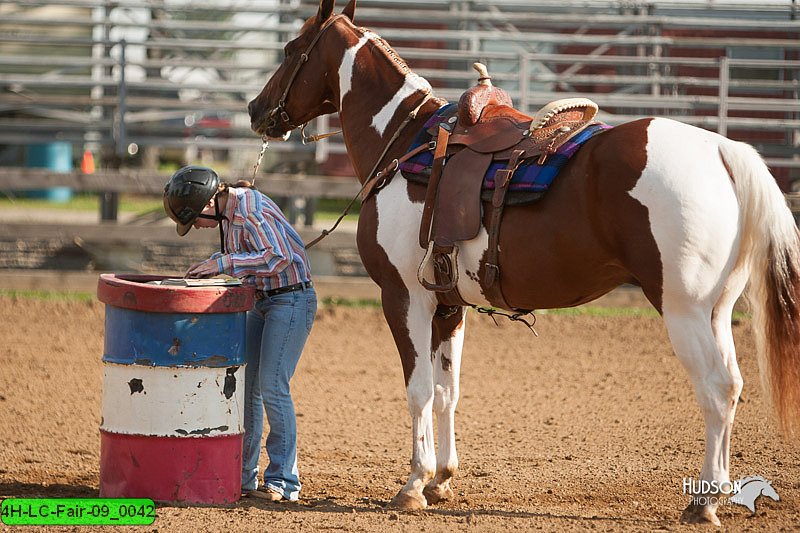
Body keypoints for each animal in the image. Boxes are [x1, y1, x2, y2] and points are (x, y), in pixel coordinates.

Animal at [248, 0, 800, 524]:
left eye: (291, 49)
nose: (256, 109)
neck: (403, 145)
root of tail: (721, 151)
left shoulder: (404, 297)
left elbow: (419, 391)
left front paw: (413, 484)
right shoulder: (448, 305)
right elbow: (447, 391)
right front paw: (442, 479)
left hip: (684, 310)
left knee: (715, 390)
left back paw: (704, 502)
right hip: (717, 312)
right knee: (733, 386)